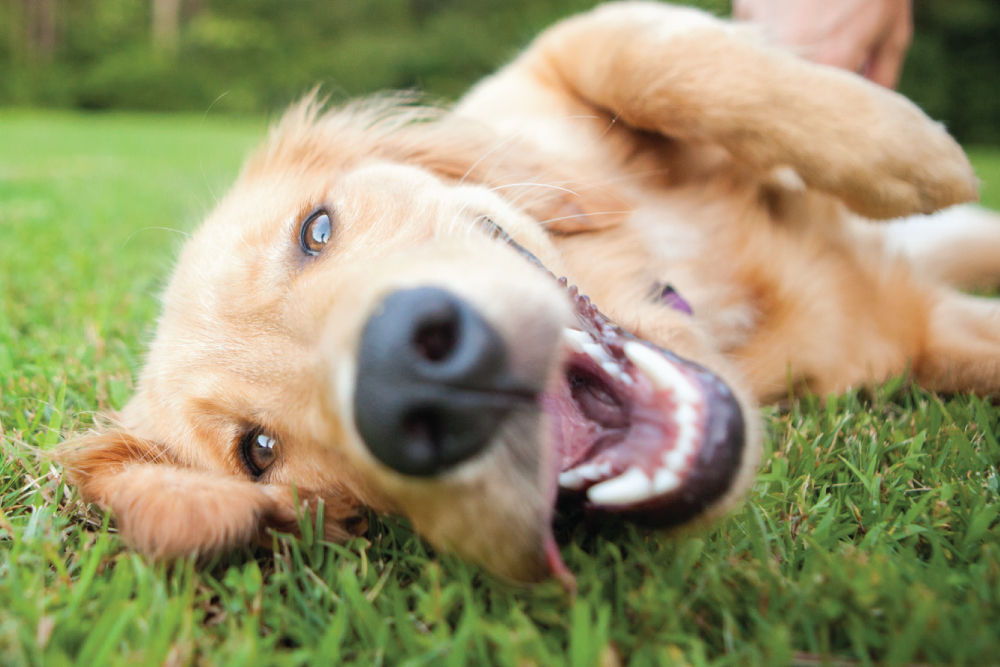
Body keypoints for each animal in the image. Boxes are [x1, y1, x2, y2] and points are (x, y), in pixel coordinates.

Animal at [56, 1, 1000, 584]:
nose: (413, 374)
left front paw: (907, 152)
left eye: (314, 231)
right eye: (259, 452)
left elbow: (649, 50)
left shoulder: (551, 65)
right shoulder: (915, 334)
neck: (693, 291)